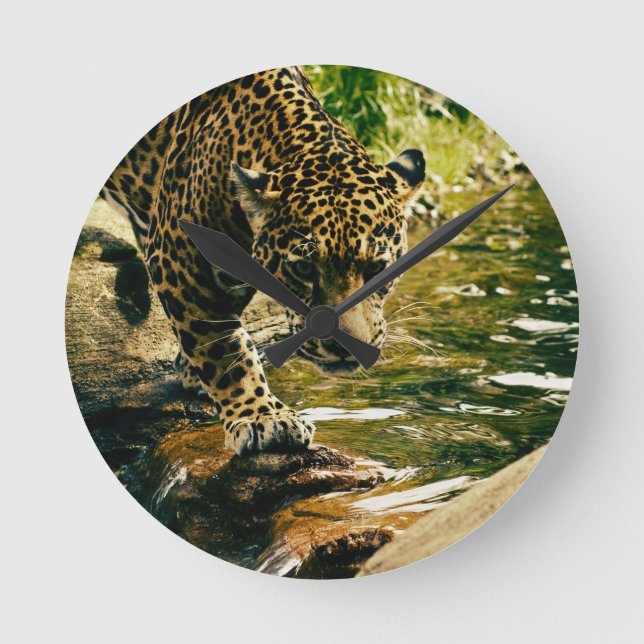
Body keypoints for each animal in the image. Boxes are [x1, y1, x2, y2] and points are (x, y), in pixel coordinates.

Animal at [101, 66, 425, 455]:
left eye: (376, 268)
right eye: (303, 268)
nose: (348, 348)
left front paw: (194, 373)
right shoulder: (179, 258)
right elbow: (225, 348)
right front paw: (262, 416)